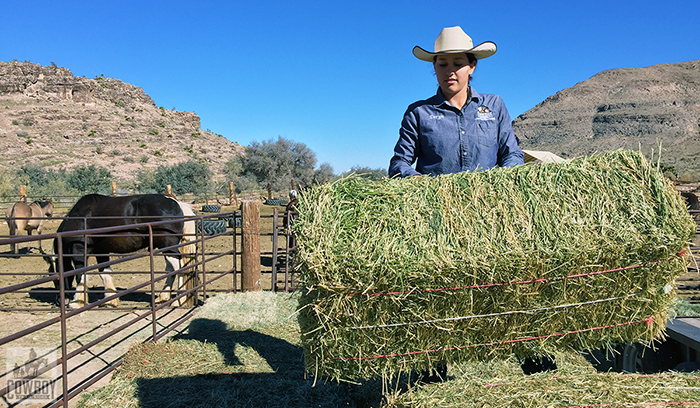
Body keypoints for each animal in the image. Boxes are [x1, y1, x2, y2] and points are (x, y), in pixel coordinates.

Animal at [50, 194, 185, 310]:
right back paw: (163, 298)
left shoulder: (78, 250)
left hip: (168, 247)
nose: (58, 301)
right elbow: (105, 273)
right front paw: (110, 300)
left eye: (55, 277)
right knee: (171, 269)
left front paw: (77, 302)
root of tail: (178, 204)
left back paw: (180, 300)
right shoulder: (101, 252)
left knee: (179, 268)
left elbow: (81, 275)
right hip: (166, 248)